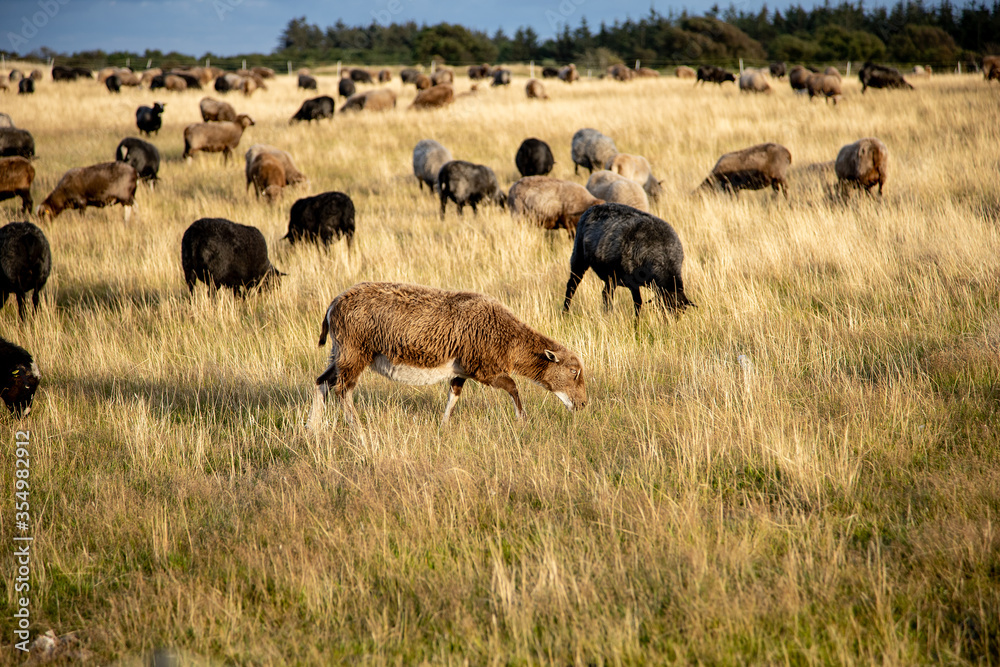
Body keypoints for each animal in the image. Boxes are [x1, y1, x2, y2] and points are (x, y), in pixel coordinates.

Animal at [306, 281, 587, 429]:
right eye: (573, 372)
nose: (584, 404)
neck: (509, 339)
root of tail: (334, 305)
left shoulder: (461, 370)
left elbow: (454, 395)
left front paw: (443, 425)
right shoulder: (484, 369)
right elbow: (513, 386)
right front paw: (522, 420)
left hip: (340, 352)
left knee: (322, 382)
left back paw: (312, 428)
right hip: (355, 352)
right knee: (343, 389)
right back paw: (357, 427)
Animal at [563, 203, 694, 317]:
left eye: (682, 311)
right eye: (665, 308)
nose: (671, 325)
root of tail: (592, 208)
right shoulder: (633, 283)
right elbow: (638, 304)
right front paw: (637, 326)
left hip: (611, 276)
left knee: (606, 293)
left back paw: (608, 314)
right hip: (578, 258)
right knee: (572, 286)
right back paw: (565, 313)